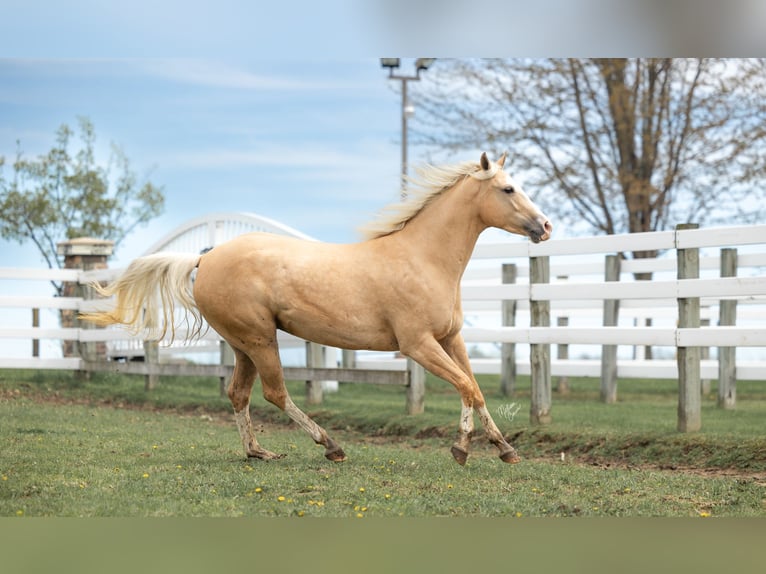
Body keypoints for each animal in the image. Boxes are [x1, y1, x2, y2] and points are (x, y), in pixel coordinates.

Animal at [82, 154, 552, 468]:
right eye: (508, 189)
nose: (545, 226)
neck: (423, 258)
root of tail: (205, 259)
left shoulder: (450, 338)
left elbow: (476, 388)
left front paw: (506, 449)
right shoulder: (417, 345)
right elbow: (467, 387)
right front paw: (462, 449)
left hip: (242, 345)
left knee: (238, 393)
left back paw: (259, 451)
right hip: (259, 339)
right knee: (275, 393)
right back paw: (331, 445)